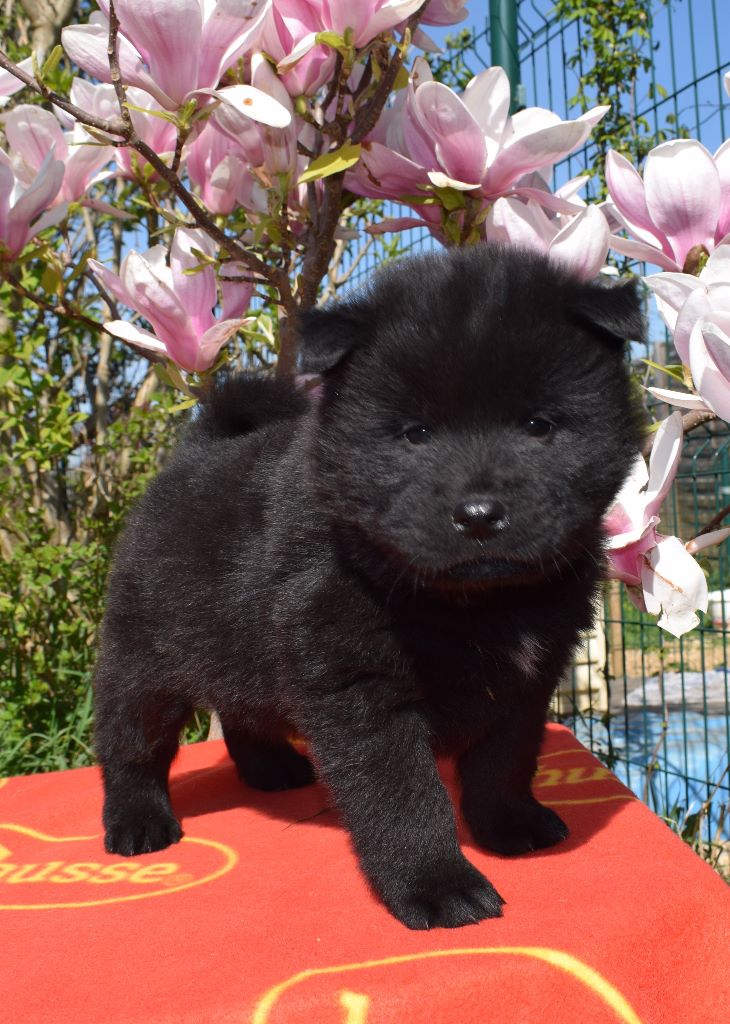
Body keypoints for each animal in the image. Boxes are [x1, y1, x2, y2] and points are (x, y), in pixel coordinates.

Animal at [94, 243, 644, 929]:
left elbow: (504, 760)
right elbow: (403, 796)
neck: (477, 603)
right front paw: (438, 885)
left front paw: (509, 826)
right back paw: (138, 822)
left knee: (244, 710)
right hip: (145, 655)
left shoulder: (527, 678)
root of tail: (197, 450)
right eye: (415, 434)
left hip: (240, 646)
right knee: (131, 739)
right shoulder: (360, 685)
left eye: (539, 425)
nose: (478, 514)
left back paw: (274, 769)